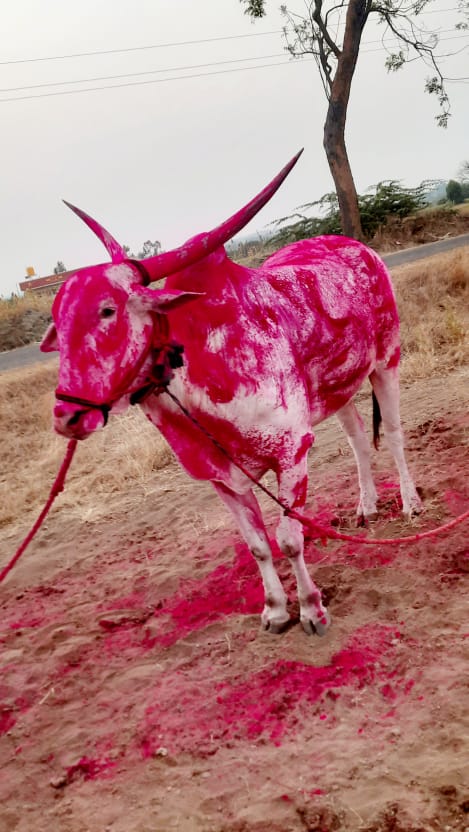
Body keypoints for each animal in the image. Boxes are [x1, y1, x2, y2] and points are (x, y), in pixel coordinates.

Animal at [40, 153, 420, 636]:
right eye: (58, 319)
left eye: (107, 310)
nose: (67, 416)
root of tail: (357, 247)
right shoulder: (220, 477)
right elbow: (258, 545)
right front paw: (275, 610)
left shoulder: (292, 453)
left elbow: (289, 538)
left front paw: (312, 610)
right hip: (338, 388)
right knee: (357, 439)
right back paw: (366, 507)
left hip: (387, 362)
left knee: (393, 433)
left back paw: (410, 503)